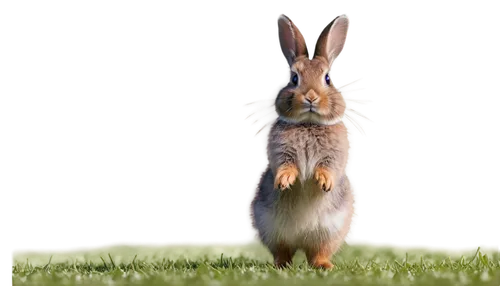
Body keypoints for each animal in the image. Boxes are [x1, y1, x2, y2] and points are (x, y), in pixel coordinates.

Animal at [247, 12, 360, 270]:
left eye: (327, 78)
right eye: (294, 78)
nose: (310, 96)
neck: (308, 123)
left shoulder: (336, 155)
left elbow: (329, 167)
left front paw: (323, 182)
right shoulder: (281, 153)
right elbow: (285, 165)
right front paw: (284, 181)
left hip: (330, 231)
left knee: (318, 252)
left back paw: (324, 266)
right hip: (271, 228)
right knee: (283, 252)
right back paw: (282, 265)